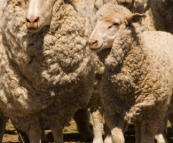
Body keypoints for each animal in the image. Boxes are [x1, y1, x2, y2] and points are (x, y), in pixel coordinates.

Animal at [88, 2, 173, 142]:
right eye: (96, 22)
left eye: (116, 23)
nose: (92, 42)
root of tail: (162, 32)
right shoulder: (113, 110)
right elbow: (117, 139)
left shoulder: (153, 112)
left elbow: (146, 140)